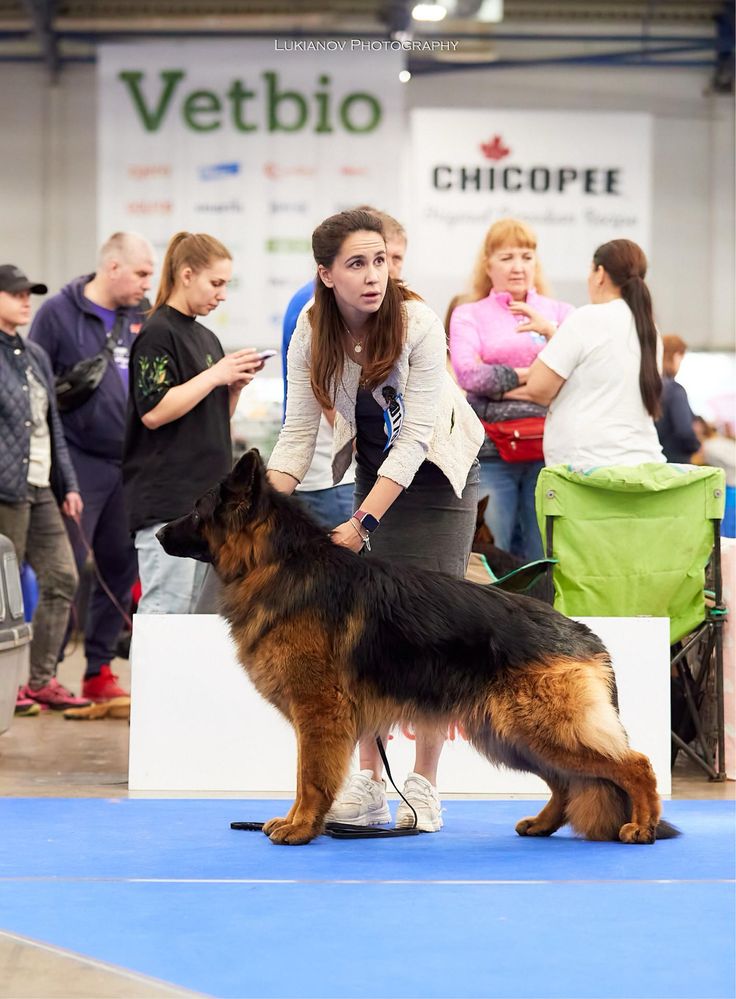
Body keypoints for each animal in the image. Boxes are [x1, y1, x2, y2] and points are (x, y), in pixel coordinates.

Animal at [158, 450, 676, 848]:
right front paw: (296, 821)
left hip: (540, 728)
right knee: (568, 782)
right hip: (511, 734)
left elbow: (310, 778)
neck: (277, 564)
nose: (159, 533)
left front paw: (302, 827)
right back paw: (544, 825)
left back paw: (642, 827)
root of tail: (585, 634)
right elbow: (306, 777)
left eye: (197, 512)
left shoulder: (318, 714)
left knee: (636, 765)